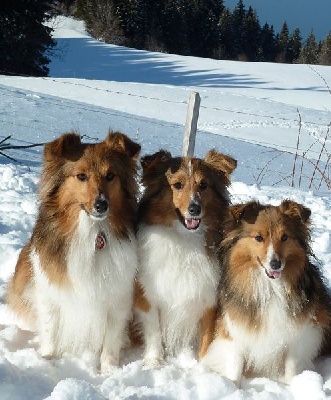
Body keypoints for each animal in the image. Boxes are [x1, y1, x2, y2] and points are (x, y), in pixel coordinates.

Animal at [6, 131, 141, 372]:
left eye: (110, 176)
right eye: (81, 176)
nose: (101, 205)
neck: (93, 233)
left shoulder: (118, 297)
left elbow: (111, 340)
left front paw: (108, 371)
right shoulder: (50, 292)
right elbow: (50, 329)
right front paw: (48, 360)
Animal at [134, 148, 237, 368]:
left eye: (204, 185)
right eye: (177, 185)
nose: (194, 209)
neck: (184, 239)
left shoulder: (208, 299)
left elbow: (207, 339)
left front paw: (204, 367)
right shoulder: (147, 294)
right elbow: (154, 329)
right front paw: (154, 361)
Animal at [202, 202, 331, 386]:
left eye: (284, 237)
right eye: (258, 237)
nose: (275, 264)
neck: (270, 288)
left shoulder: (300, 333)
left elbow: (292, 365)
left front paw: (292, 386)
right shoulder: (234, 330)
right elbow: (235, 364)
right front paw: (234, 386)